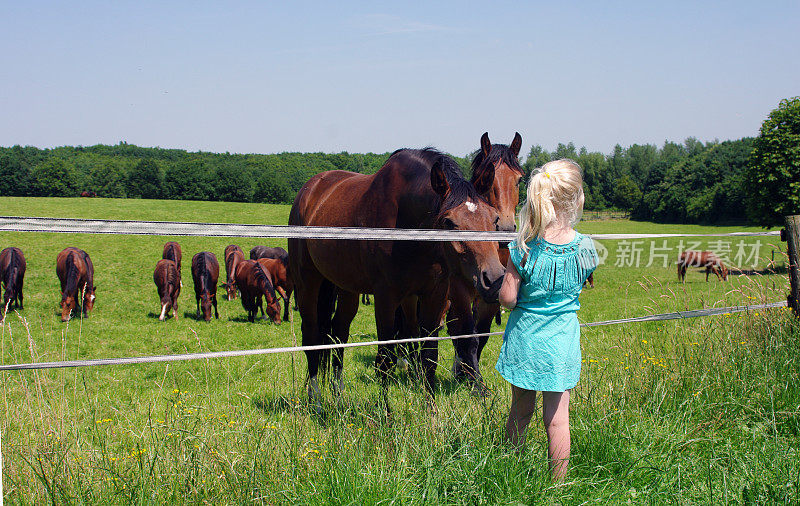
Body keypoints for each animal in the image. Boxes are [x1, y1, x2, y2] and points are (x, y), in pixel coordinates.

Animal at [286, 147, 500, 408]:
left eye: (494, 218)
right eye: (449, 222)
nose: (494, 278)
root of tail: (310, 190)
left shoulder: (434, 293)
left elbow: (429, 356)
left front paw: (431, 412)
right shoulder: (386, 297)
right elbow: (385, 358)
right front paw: (385, 412)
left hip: (345, 288)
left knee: (338, 333)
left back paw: (337, 396)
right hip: (308, 283)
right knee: (312, 336)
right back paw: (315, 400)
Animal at [444, 131, 524, 392]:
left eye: (519, 180)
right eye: (487, 180)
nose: (506, 229)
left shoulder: (491, 295)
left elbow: (482, 335)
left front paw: (466, 374)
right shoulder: (459, 290)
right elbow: (467, 334)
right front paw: (473, 381)